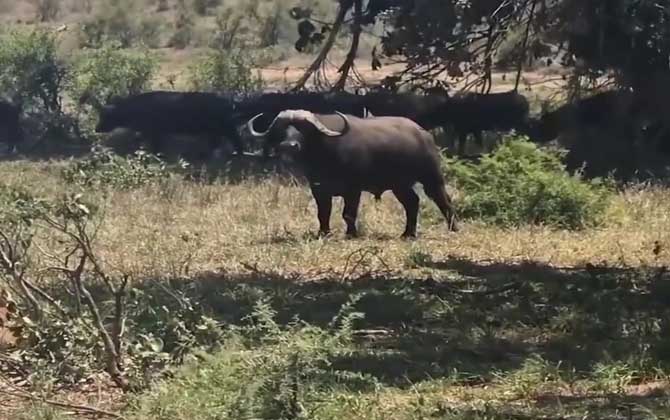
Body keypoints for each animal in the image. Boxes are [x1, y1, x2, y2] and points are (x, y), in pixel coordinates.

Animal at [93, 91, 243, 157]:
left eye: (106, 115)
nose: (96, 129)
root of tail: (227, 101)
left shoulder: (153, 132)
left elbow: (154, 146)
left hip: (223, 127)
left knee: (235, 137)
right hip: (214, 129)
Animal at [248, 110, 462, 238]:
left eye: (303, 129)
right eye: (284, 130)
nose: (289, 145)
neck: (325, 155)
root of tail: (424, 134)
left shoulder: (353, 189)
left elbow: (348, 213)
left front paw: (351, 233)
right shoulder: (319, 189)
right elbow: (323, 213)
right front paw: (324, 232)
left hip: (431, 177)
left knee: (443, 199)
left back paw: (453, 228)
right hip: (399, 185)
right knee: (412, 202)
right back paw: (407, 234)